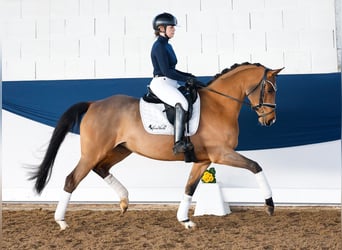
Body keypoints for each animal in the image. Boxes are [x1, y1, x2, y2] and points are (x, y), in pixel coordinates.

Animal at [30, 63, 284, 230]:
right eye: (270, 89)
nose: (270, 120)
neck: (219, 105)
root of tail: (94, 104)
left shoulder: (203, 160)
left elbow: (189, 188)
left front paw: (185, 220)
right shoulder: (221, 154)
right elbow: (255, 166)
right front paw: (270, 206)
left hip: (120, 149)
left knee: (100, 168)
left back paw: (124, 201)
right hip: (93, 152)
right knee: (72, 179)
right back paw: (62, 221)